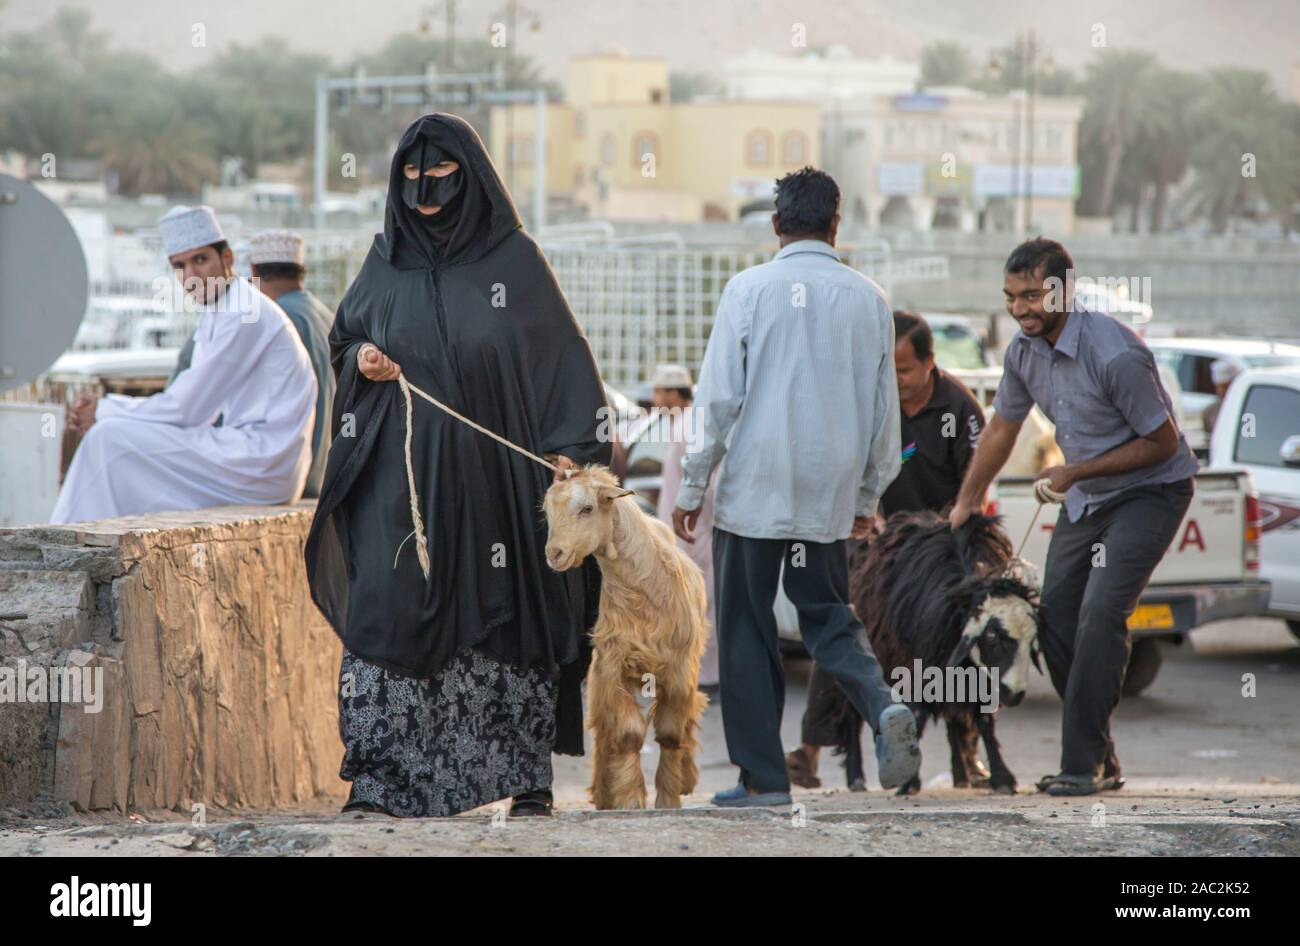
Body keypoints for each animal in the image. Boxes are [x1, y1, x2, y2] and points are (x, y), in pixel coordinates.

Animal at [546, 465, 717, 805]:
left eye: (587, 508)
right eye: (547, 512)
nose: (554, 553)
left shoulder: (678, 670)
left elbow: (670, 734)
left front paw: (668, 800)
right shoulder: (614, 666)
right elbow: (627, 735)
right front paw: (628, 799)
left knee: (691, 715)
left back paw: (688, 778)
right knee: (603, 731)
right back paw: (603, 793)